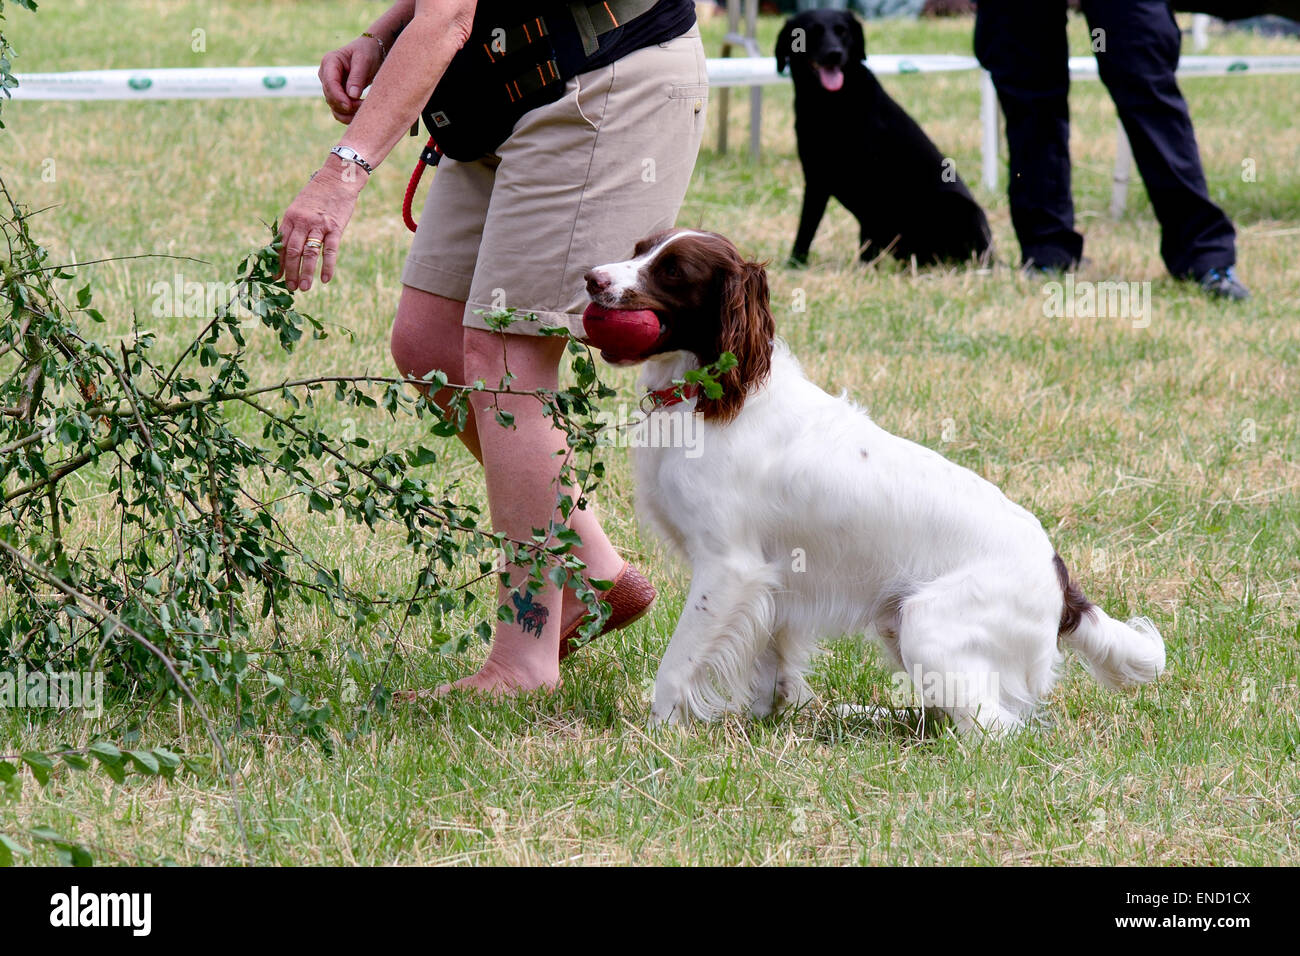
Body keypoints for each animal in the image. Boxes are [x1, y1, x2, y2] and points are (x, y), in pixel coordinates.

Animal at [585, 230, 1164, 733]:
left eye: (673, 270)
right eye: (638, 249)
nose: (591, 278)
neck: (715, 395)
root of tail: (1061, 583)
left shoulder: (729, 569)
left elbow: (677, 665)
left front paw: (655, 733)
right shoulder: (773, 585)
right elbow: (771, 671)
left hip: (926, 624)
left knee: (992, 729)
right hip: (899, 624)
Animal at [774, 9, 987, 267]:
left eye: (842, 31)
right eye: (811, 33)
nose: (835, 54)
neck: (831, 105)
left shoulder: (871, 178)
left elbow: (866, 234)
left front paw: (864, 267)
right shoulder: (816, 177)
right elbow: (806, 226)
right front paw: (795, 263)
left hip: (957, 206)